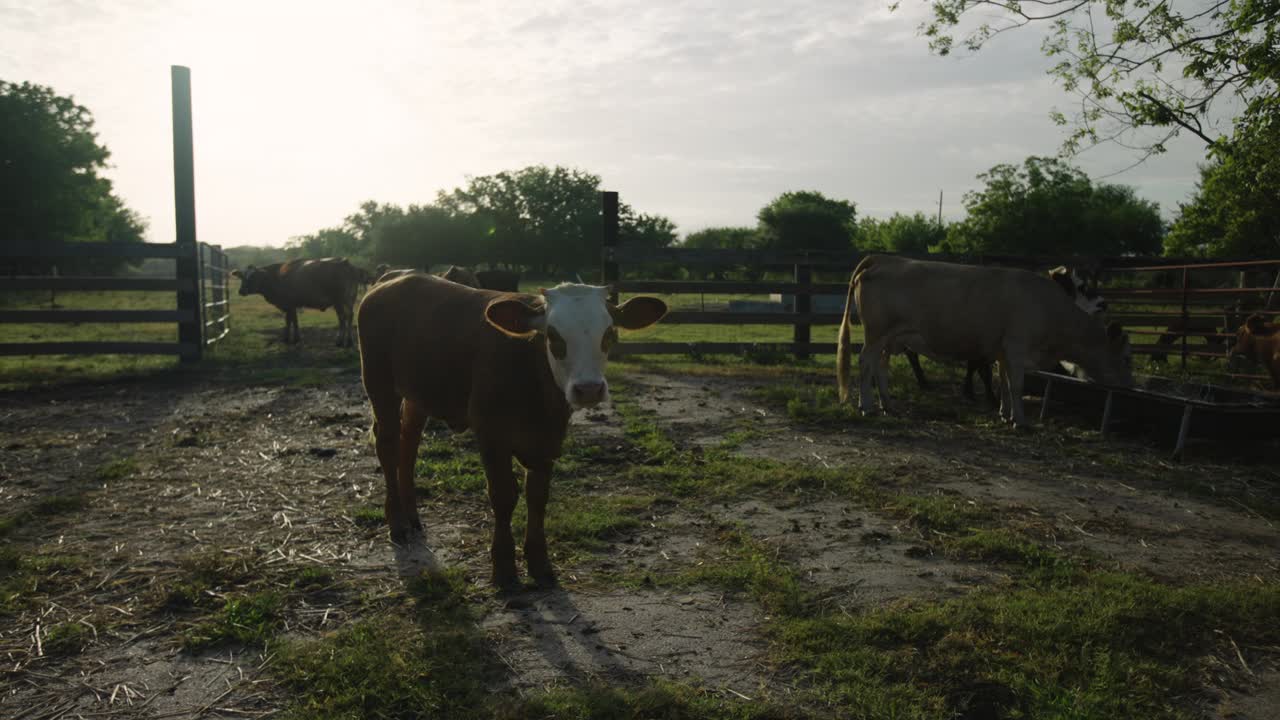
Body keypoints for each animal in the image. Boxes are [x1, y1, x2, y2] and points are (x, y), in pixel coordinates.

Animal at [227, 256, 360, 345]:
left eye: (253, 277)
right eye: (242, 277)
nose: (241, 291)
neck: (276, 276)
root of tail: (344, 262)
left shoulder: (288, 304)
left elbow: (288, 320)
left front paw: (287, 339)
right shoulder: (292, 305)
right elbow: (294, 320)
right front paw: (296, 338)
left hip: (338, 301)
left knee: (342, 318)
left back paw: (339, 340)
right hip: (349, 299)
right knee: (350, 316)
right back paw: (349, 341)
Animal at [355, 274, 665, 584]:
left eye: (609, 333)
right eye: (553, 336)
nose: (588, 389)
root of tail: (396, 278)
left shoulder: (548, 439)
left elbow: (537, 497)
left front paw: (540, 563)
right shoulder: (490, 433)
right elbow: (504, 496)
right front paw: (504, 567)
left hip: (417, 395)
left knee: (408, 445)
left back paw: (411, 515)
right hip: (379, 385)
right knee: (388, 446)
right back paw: (397, 522)